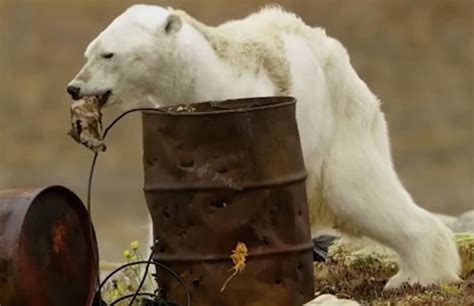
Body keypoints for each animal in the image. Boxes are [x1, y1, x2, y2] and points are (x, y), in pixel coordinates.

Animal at [66, 4, 460, 290]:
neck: (202, 79)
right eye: (89, 51)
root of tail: (338, 56)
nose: (74, 87)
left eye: (108, 54)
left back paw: (415, 275)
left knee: (362, 193)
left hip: (340, 125)